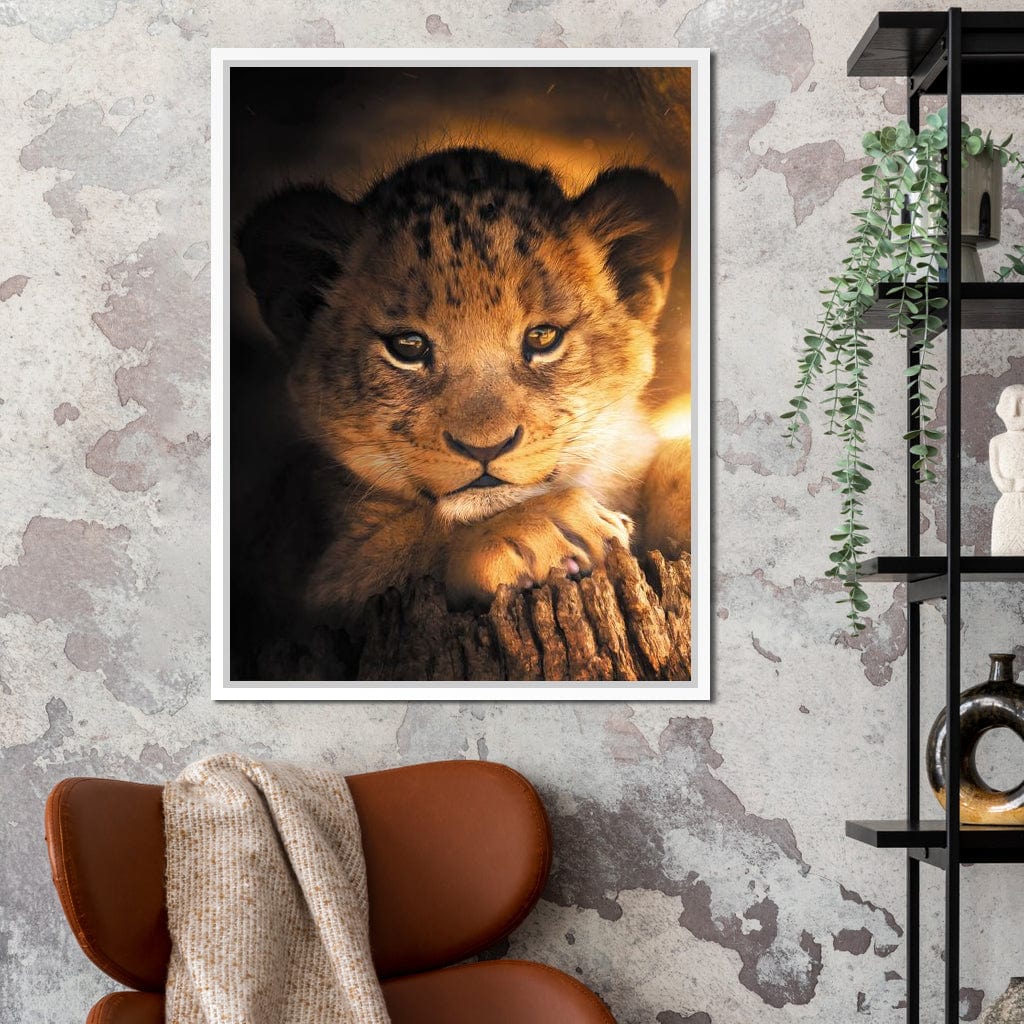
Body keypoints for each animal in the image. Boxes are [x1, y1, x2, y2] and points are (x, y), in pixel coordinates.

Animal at [238, 147, 691, 627]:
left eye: (543, 337)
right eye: (408, 346)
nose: (485, 448)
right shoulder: (306, 589)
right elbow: (406, 547)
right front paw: (543, 528)